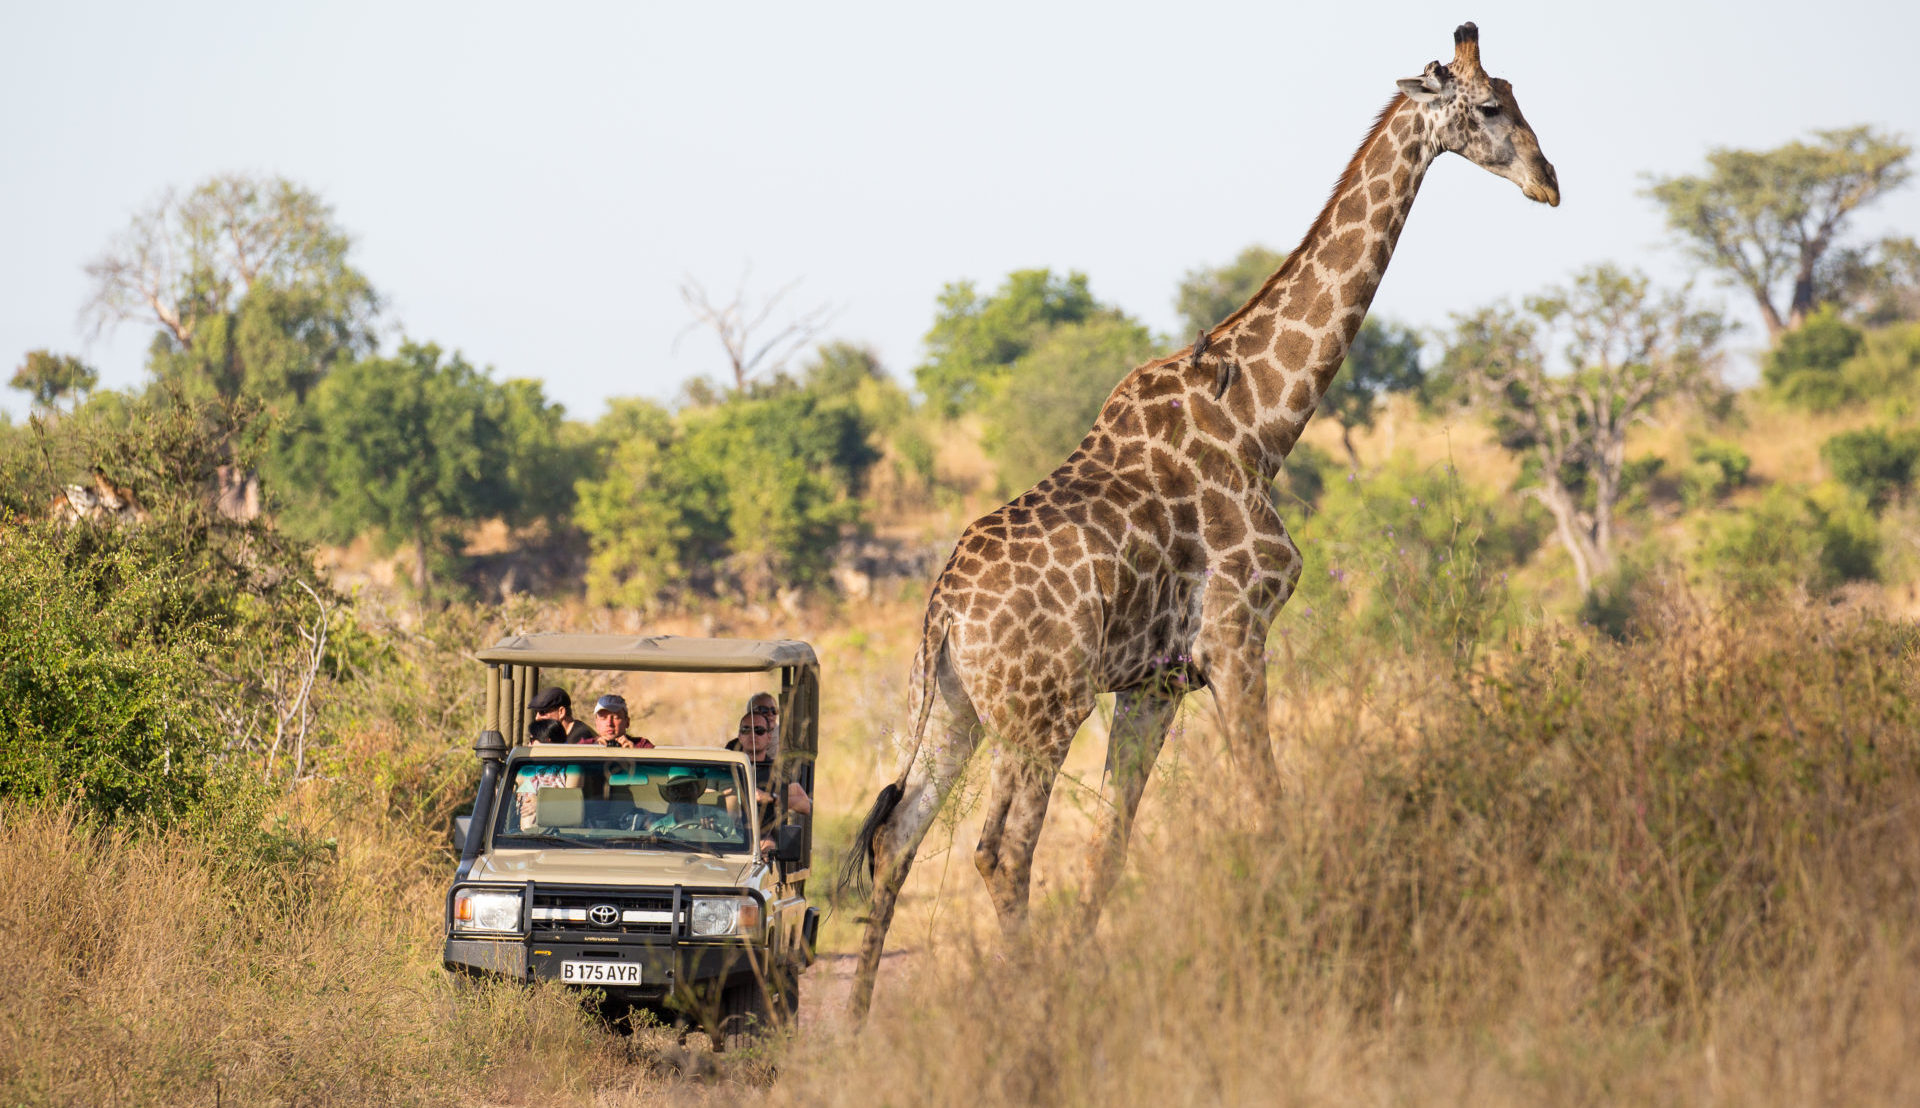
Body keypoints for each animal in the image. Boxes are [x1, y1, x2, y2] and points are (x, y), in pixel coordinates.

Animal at [841, 22, 1559, 1021]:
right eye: (1490, 106)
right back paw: (1025, 1010)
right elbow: (1268, 807)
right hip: (1042, 709)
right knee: (1000, 850)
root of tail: (943, 612)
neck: (1264, 419)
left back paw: (858, 1029)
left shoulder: (1156, 683)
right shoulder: (1236, 635)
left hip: (955, 707)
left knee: (898, 839)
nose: (1549, 181)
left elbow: (1112, 846)